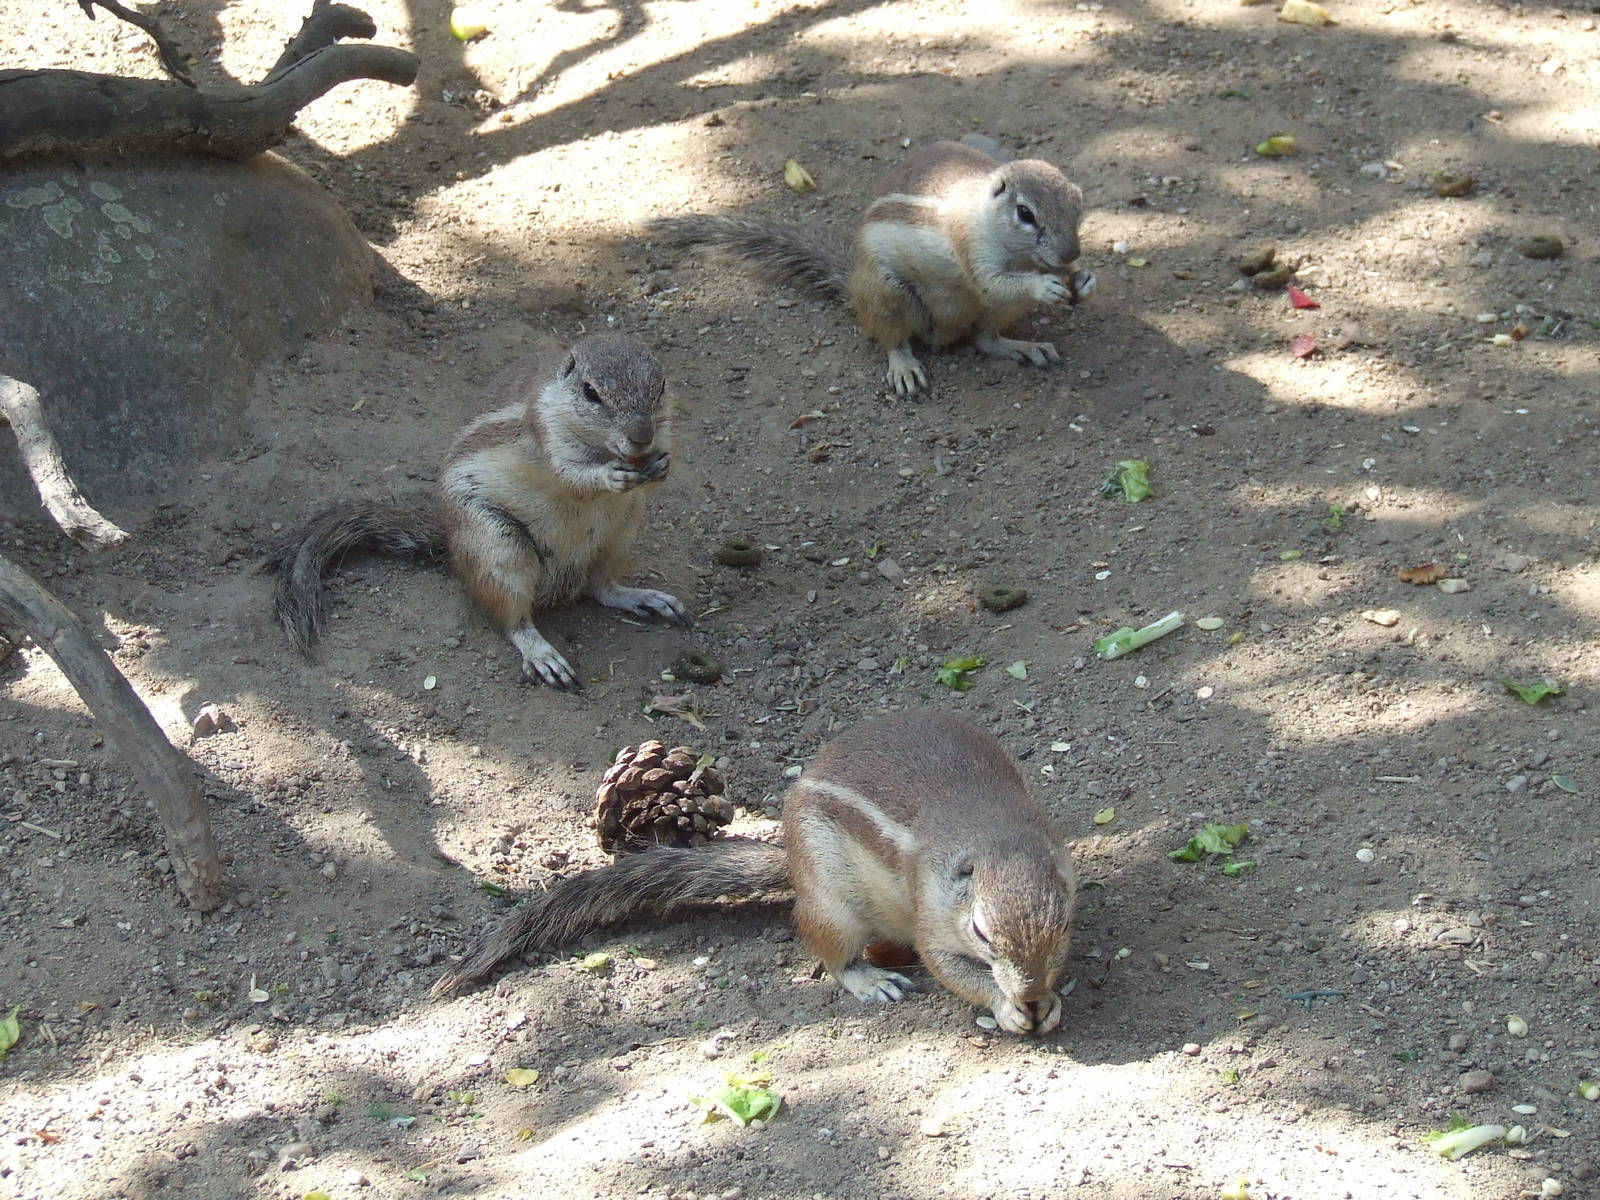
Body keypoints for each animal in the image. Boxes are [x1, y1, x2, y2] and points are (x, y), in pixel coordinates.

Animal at [262, 333, 690, 691]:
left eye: (660, 386)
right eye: (591, 393)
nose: (642, 436)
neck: (603, 447)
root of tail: (450, 545)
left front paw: (662, 466)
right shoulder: (546, 434)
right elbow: (571, 477)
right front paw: (607, 475)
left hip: (622, 532)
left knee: (601, 588)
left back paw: (644, 598)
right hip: (497, 545)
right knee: (512, 618)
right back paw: (542, 654)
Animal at [431, 710, 1078, 1035]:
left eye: (1064, 924)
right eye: (982, 933)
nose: (1028, 995)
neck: (992, 834)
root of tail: (789, 860)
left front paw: (1048, 1000)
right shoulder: (933, 918)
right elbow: (948, 968)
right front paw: (1004, 1005)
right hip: (831, 903)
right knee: (828, 947)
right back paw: (870, 979)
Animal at [646, 135, 1094, 397]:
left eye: (1078, 202)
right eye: (1025, 213)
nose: (1069, 256)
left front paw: (1085, 279)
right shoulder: (970, 246)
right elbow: (992, 281)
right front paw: (1045, 286)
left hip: (990, 315)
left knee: (985, 339)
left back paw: (1024, 346)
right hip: (886, 292)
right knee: (892, 338)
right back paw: (904, 367)